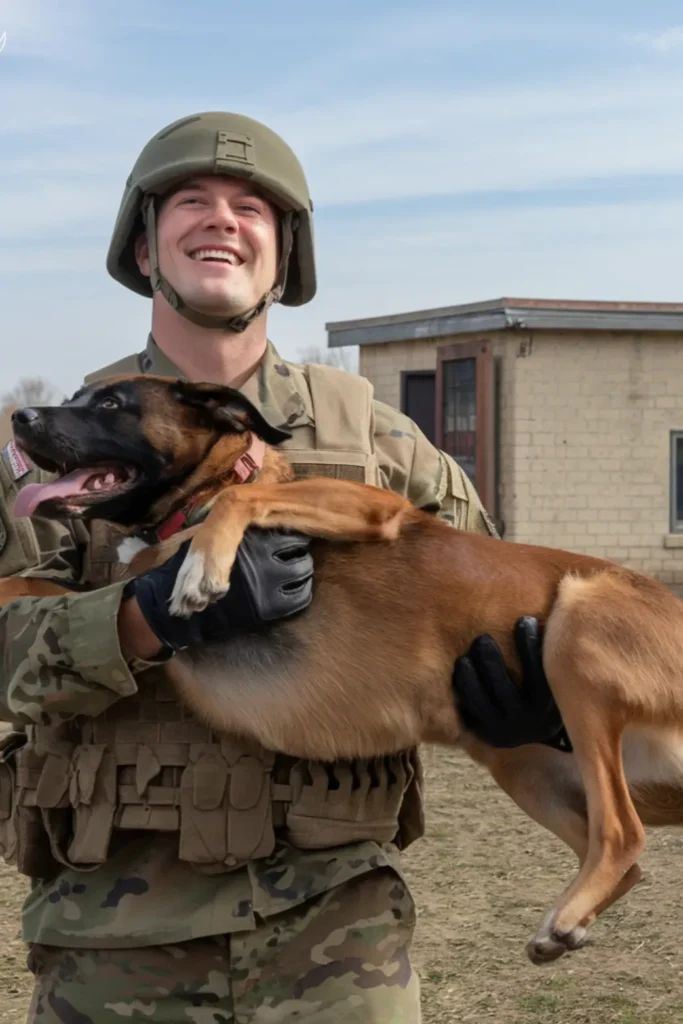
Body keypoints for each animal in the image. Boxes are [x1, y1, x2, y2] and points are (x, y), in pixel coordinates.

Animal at [3, 376, 683, 966]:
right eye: (76, 396)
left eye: (110, 403)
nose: (20, 418)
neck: (190, 504)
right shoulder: (112, 587)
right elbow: (31, 587)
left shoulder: (372, 505)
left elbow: (243, 501)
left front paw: (206, 566)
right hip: (524, 765)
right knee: (622, 855)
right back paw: (564, 925)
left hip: (575, 628)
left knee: (622, 834)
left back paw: (565, 917)